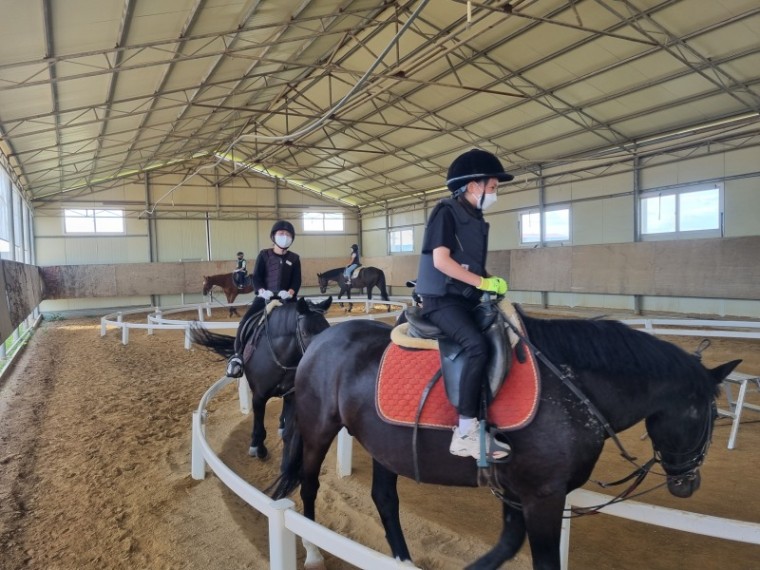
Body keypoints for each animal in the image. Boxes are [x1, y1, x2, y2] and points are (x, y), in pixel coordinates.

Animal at [189, 292, 330, 458]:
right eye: (304, 333)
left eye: (328, 329)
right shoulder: (259, 396)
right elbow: (259, 425)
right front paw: (258, 447)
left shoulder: (292, 394)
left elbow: (289, 431)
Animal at [270, 304, 740, 564]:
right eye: (709, 416)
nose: (688, 482)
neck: (572, 389)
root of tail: (320, 341)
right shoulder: (544, 496)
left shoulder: (519, 491)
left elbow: (506, 546)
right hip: (319, 429)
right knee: (308, 485)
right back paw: (313, 551)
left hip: (386, 447)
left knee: (385, 500)